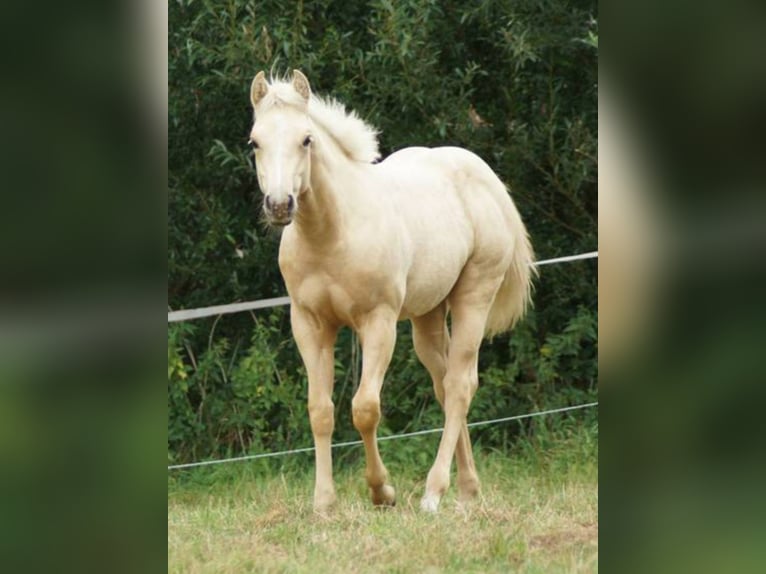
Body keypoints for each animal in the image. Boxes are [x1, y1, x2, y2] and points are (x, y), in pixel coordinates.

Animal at [248, 70, 535, 513]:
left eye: (306, 139)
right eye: (255, 142)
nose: (280, 205)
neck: (332, 233)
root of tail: (487, 178)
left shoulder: (378, 322)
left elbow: (365, 408)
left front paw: (382, 491)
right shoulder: (310, 324)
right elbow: (320, 410)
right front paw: (324, 503)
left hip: (473, 298)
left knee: (460, 385)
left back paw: (434, 492)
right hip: (428, 316)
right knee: (445, 385)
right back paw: (468, 489)